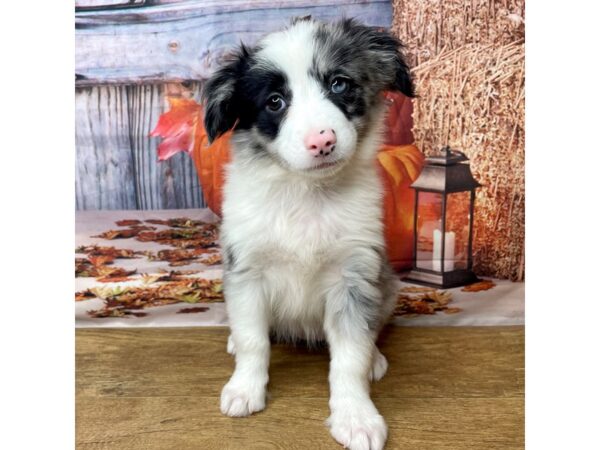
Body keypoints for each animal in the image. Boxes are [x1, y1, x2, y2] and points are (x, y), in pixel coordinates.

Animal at [204, 15, 414, 450]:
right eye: (275, 102)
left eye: (339, 84)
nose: (322, 141)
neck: (305, 193)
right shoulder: (246, 271)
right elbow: (253, 340)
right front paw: (244, 389)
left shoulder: (354, 276)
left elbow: (350, 357)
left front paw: (356, 416)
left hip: (387, 285)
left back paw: (375, 358)